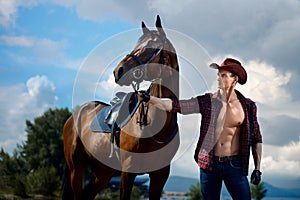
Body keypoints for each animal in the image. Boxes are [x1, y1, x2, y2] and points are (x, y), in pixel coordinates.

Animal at [62, 14, 179, 199]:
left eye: (150, 47)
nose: (119, 70)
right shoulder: (128, 170)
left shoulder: (160, 174)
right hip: (76, 167)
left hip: (102, 172)